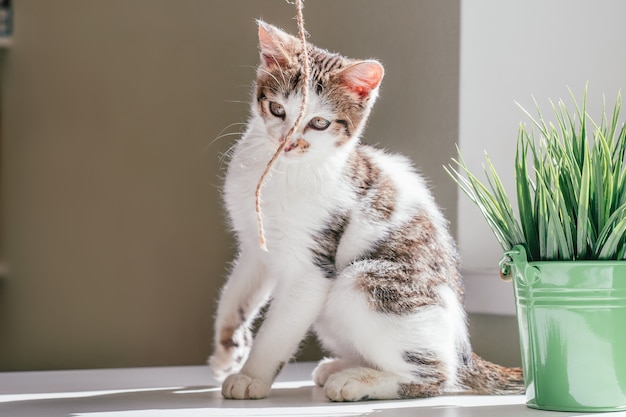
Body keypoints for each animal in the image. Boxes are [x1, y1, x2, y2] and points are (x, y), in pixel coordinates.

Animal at [210, 22, 520, 400]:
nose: (288, 142)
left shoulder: (313, 266)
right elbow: (235, 295)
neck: (277, 173)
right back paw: (341, 366)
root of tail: (464, 353)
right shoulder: (256, 247)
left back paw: (356, 381)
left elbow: (279, 330)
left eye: (319, 123)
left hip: (362, 282)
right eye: (277, 109)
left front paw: (252, 376)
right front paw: (226, 350)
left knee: (436, 377)